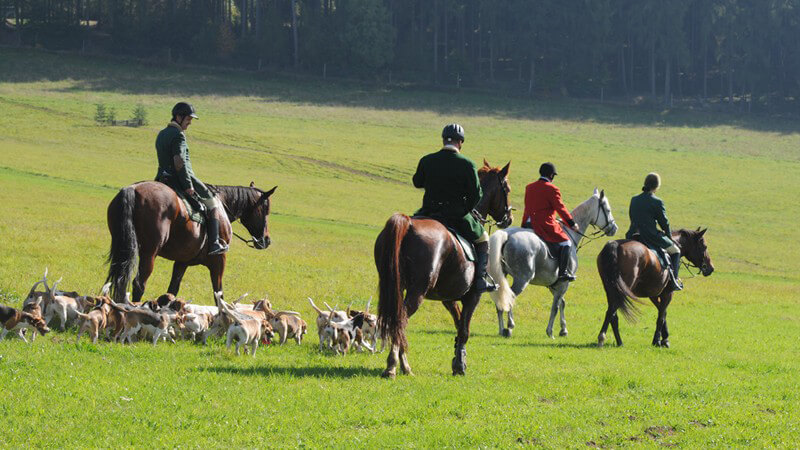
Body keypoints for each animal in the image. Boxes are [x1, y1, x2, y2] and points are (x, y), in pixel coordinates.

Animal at [104, 181, 276, 304]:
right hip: (149, 253)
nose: (267, 240)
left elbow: (172, 290)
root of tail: (132, 189)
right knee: (139, 284)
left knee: (120, 280)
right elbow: (218, 293)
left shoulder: (182, 262)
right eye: (266, 210)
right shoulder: (219, 260)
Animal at [376, 160, 512, 378]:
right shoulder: (473, 296)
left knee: (397, 322)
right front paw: (460, 365)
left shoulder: (448, 298)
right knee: (401, 319)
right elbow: (464, 330)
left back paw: (404, 366)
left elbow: (458, 324)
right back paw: (392, 366)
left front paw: (458, 359)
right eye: (506, 188)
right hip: (417, 291)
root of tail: (407, 223)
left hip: (393, 286)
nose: (508, 218)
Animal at [488, 188, 620, 340]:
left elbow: (562, 303)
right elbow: (555, 307)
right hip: (522, 278)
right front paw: (550, 331)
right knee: (510, 296)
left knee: (500, 298)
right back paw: (510, 326)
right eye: (608, 210)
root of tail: (507, 235)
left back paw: (501, 329)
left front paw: (563, 329)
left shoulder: (553, 283)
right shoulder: (564, 282)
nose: (614, 228)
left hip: (502, 275)